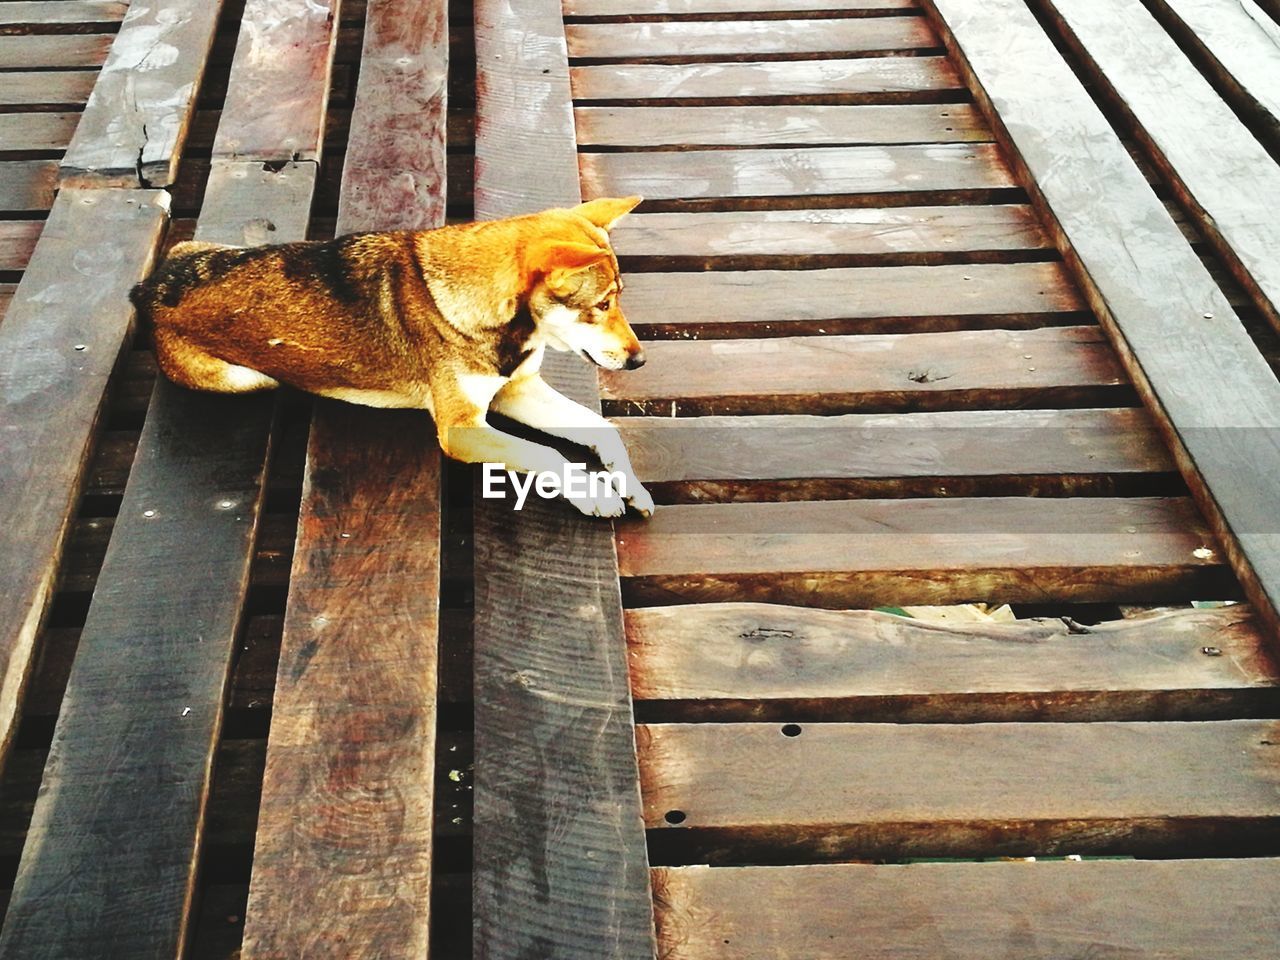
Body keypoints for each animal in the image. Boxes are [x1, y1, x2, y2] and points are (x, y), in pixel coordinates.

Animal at [129, 194, 655, 519]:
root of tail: (146, 291)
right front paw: (592, 494)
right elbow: (543, 452)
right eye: (602, 304)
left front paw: (630, 484)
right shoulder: (461, 430)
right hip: (248, 379)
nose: (639, 362)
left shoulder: (516, 391)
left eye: (619, 299)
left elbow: (601, 429)